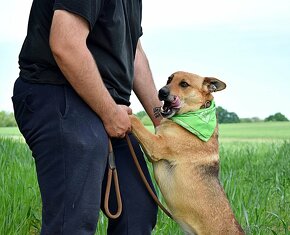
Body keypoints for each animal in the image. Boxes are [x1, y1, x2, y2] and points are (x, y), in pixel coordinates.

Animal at [130, 71, 244, 235]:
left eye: (184, 84)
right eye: (169, 79)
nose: (161, 92)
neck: (195, 113)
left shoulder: (156, 146)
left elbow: (135, 121)